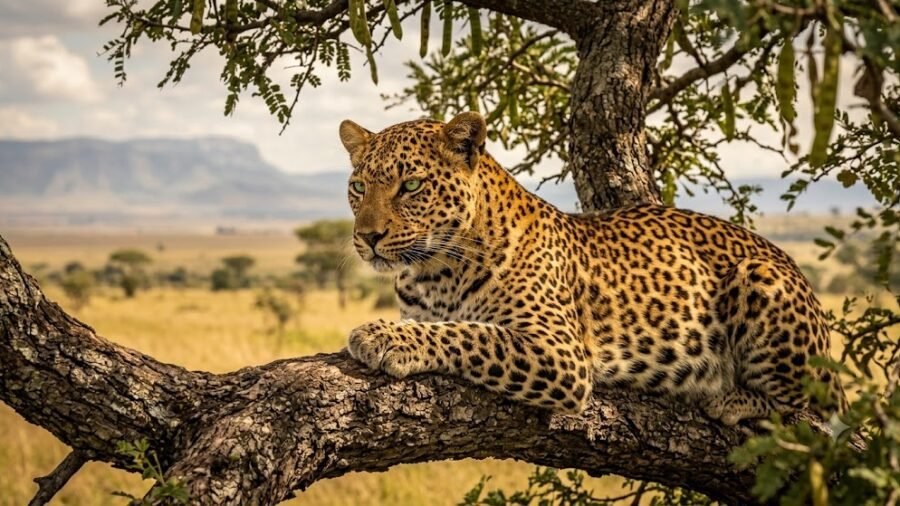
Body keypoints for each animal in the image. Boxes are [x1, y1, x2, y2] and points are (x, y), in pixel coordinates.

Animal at [339, 111, 844, 425]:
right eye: (359, 187)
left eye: (412, 186)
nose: (367, 237)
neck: (434, 271)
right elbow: (453, 327)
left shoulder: (559, 353)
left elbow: (470, 333)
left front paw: (382, 335)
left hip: (761, 277)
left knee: (801, 403)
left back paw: (727, 397)